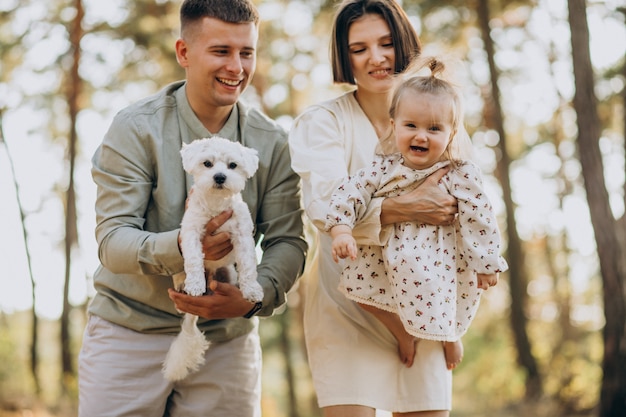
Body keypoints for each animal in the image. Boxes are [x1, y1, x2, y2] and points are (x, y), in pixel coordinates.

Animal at [162, 136, 262, 380]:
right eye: (207, 164)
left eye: (232, 165)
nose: (219, 176)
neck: (216, 205)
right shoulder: (191, 233)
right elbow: (194, 260)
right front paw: (196, 285)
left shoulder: (243, 236)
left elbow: (248, 265)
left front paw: (252, 290)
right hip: (179, 273)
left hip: (228, 273)